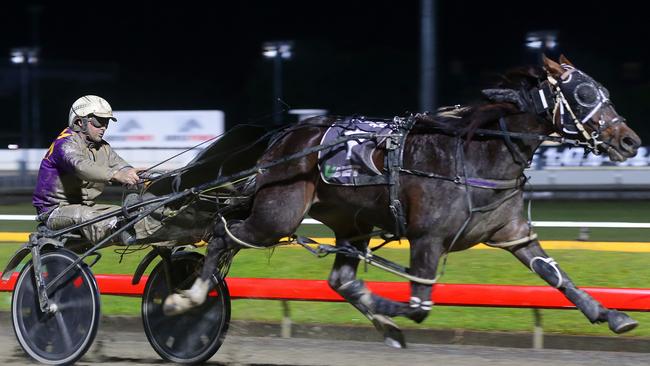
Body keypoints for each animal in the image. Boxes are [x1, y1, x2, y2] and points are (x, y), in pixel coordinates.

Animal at [165, 55, 640, 348]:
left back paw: (381, 320)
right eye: (583, 94)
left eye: (604, 91)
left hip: (350, 223)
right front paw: (396, 310)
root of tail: (287, 134)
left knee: (341, 280)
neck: (476, 151)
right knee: (221, 235)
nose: (630, 141)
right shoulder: (428, 238)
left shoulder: (514, 233)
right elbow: (420, 306)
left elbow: (556, 275)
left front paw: (612, 315)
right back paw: (185, 298)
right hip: (276, 214)